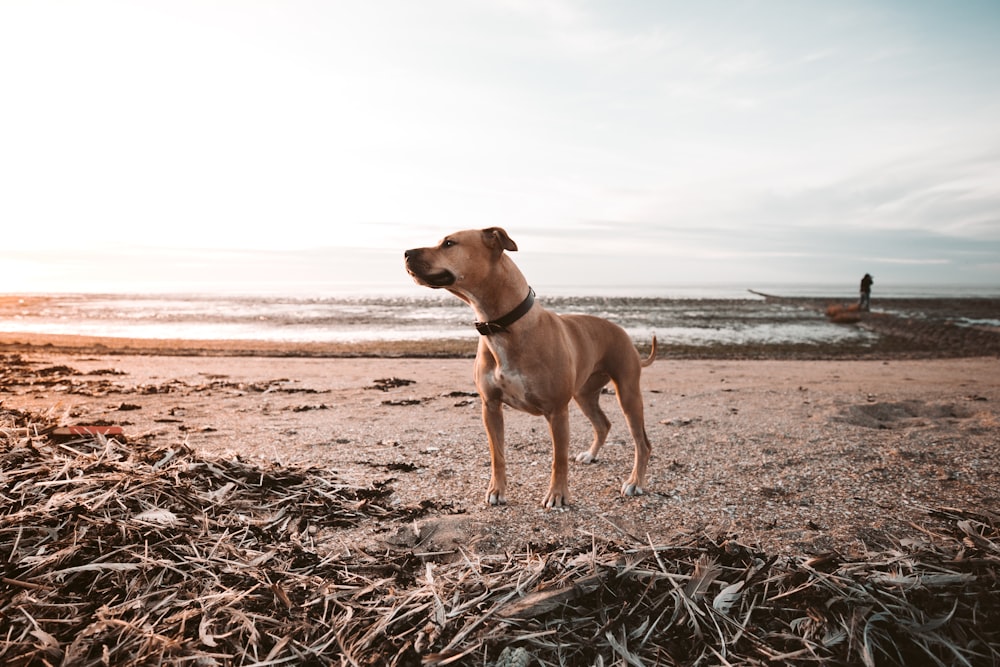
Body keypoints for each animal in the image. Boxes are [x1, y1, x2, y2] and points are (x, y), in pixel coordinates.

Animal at [406, 227, 656, 508]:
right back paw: (591, 455)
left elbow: (558, 459)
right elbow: (497, 454)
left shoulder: (557, 411)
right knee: (603, 424)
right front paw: (497, 490)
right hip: (584, 394)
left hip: (628, 393)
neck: (501, 325)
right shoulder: (490, 406)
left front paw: (557, 495)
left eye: (449, 243)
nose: (406, 252)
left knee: (642, 443)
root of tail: (621, 330)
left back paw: (635, 482)